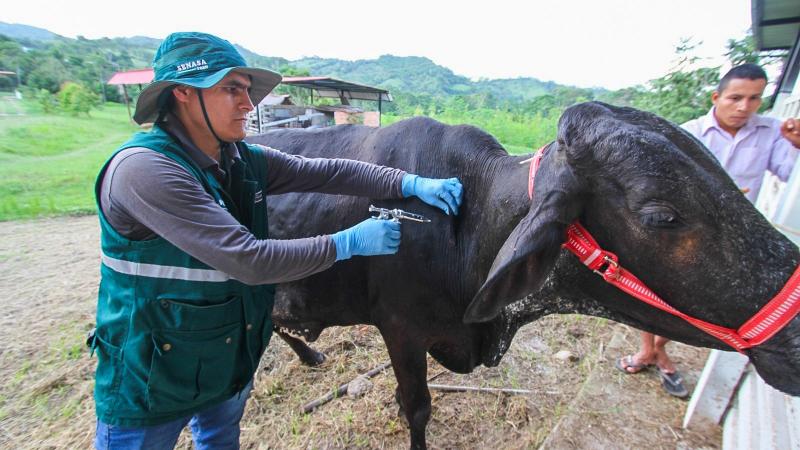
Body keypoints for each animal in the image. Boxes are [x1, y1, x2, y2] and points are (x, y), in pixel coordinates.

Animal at [245, 103, 800, 450]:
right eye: (661, 215)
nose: (794, 334)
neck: (469, 219)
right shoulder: (400, 330)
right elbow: (416, 408)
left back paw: (309, 352)